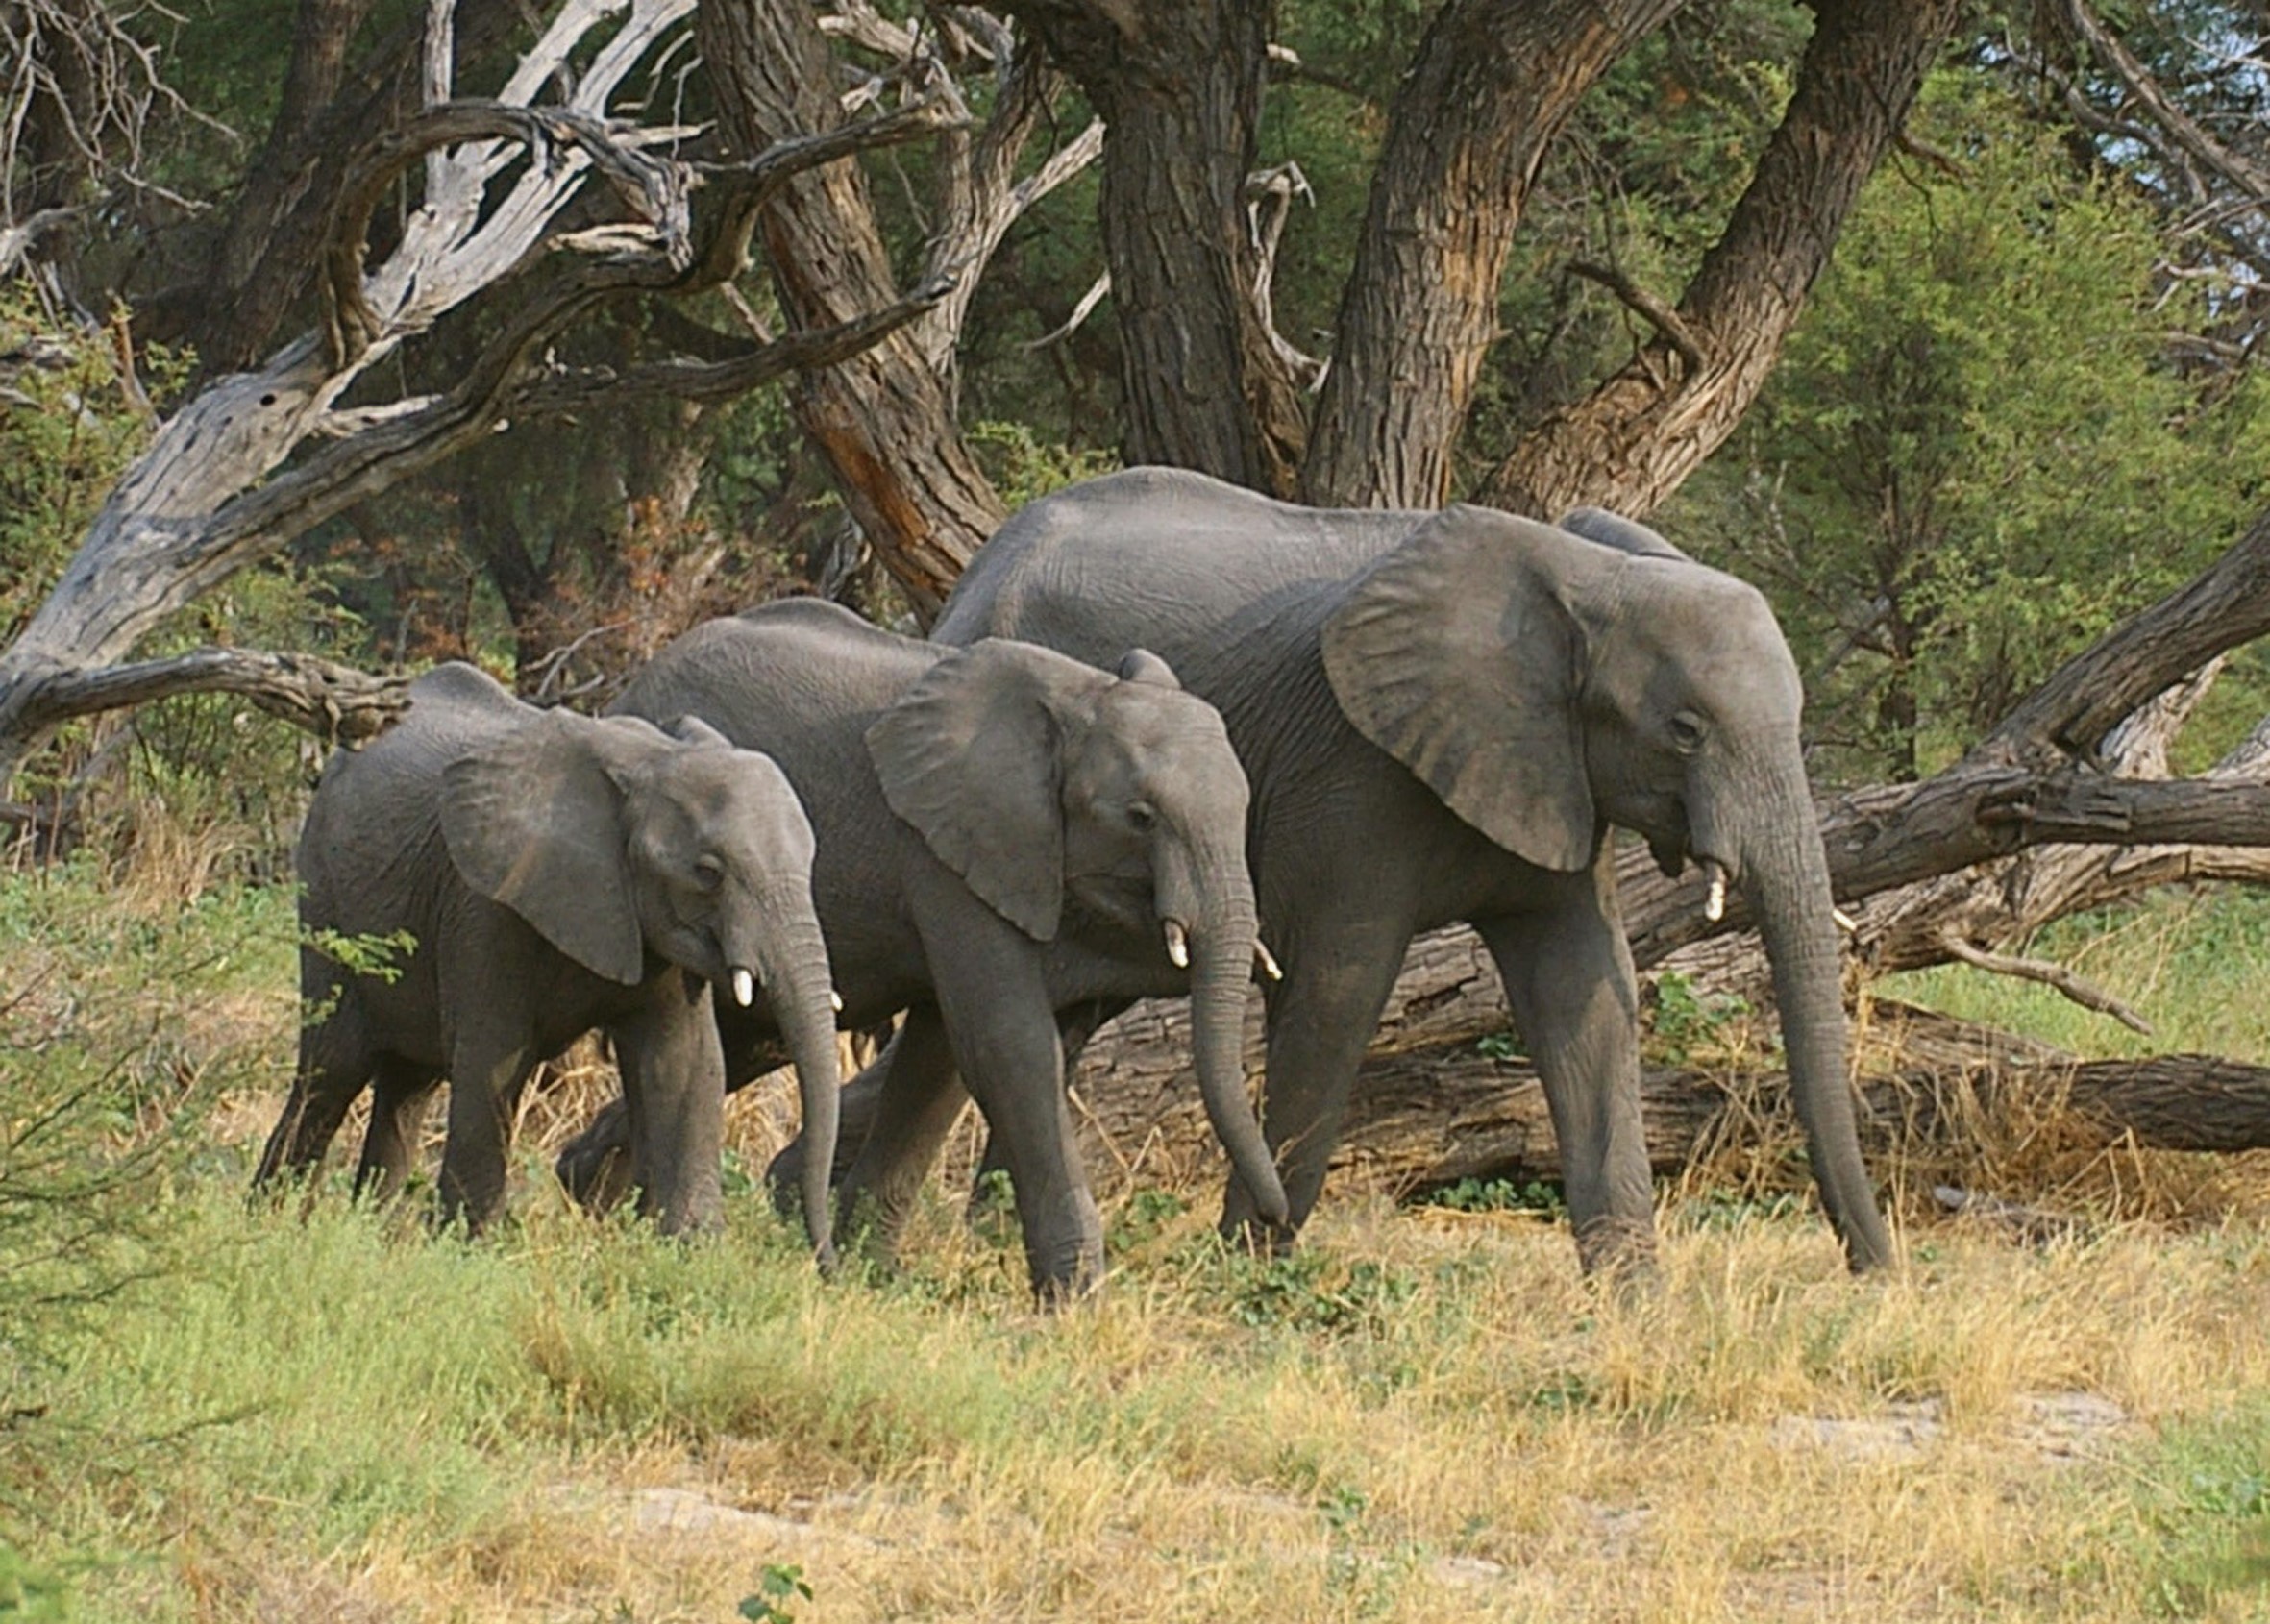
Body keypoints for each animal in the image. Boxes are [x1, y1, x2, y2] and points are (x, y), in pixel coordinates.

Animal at [253, 661, 842, 1255]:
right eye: (708, 872)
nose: (826, 1259)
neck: (646, 762)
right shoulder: (487, 903)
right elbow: (493, 1060)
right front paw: (472, 1251)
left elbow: (684, 1063)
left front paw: (693, 1252)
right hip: (325, 896)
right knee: (333, 1068)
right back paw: (275, 1221)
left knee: (408, 1083)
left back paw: (377, 1237)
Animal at [551, 596, 1288, 1297]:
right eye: (1140, 817)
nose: (1273, 1217)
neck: (1079, 694)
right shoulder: (943, 849)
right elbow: (1005, 1045)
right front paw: (1077, 1304)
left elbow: (941, 1059)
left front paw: (877, 1275)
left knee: (738, 1044)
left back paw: (593, 1197)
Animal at [926, 465, 1894, 1275]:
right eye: (1685, 730)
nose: (1875, 1273)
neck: (1584, 576)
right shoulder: (1354, 773)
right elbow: (1338, 995)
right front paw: (1251, 1275)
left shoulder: (1553, 774)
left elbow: (1586, 995)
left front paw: (1635, 1302)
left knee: (1063, 1026)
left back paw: (988, 1240)